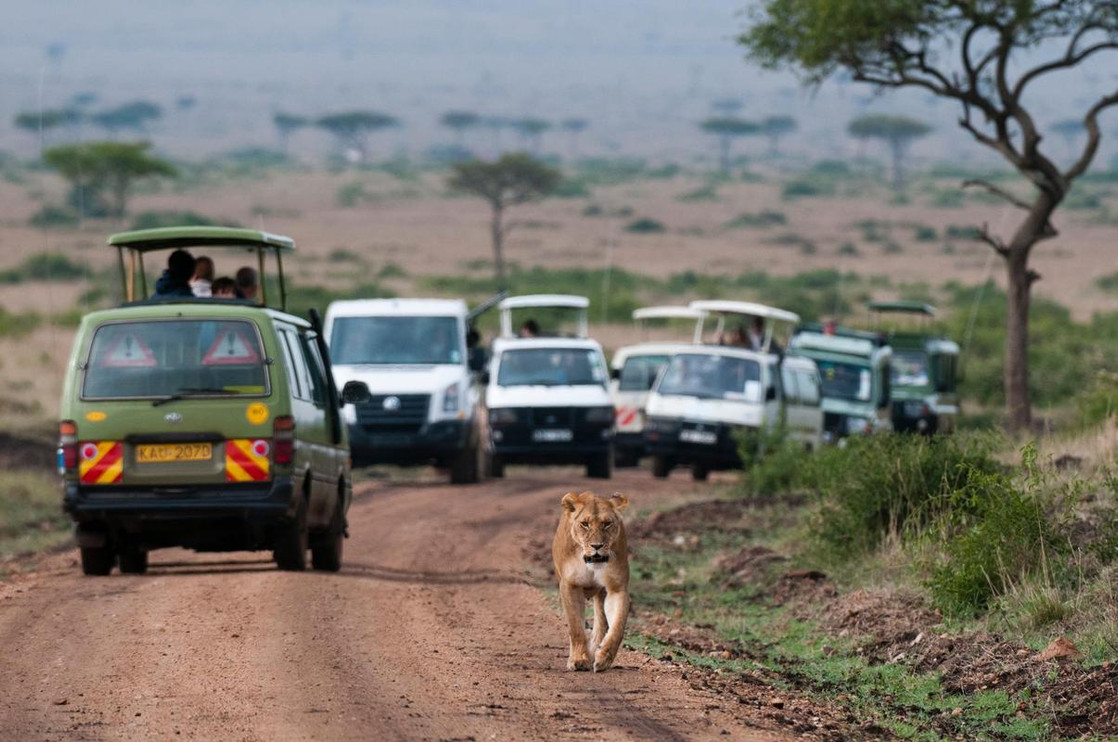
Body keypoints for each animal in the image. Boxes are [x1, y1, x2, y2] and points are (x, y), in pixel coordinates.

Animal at [552, 490, 631, 672]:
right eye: (585, 524)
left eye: (607, 524)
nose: (597, 546)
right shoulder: (569, 586)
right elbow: (576, 627)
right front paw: (579, 660)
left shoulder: (617, 588)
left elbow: (618, 626)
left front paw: (604, 658)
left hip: (601, 594)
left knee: (601, 623)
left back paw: (596, 650)